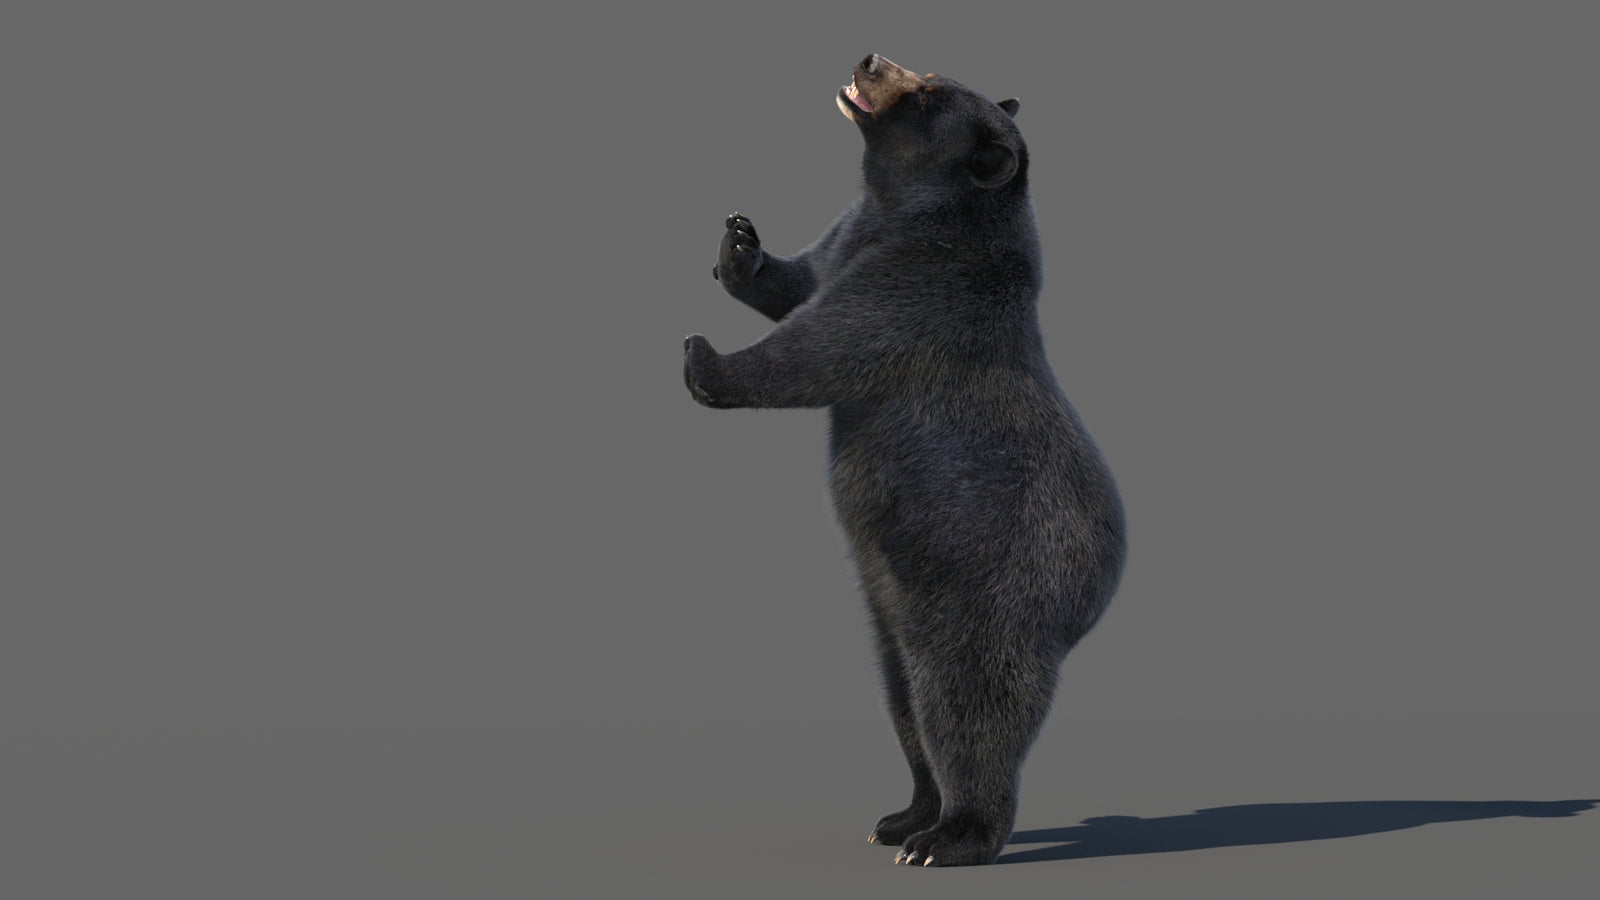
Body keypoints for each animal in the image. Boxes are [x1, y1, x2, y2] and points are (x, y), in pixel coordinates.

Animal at [683, 53, 1126, 867]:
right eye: (929, 70)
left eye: (924, 94)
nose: (869, 59)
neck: (909, 208)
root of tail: (1094, 598)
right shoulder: (852, 237)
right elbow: (801, 280)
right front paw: (741, 244)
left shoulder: (928, 282)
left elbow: (825, 344)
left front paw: (704, 358)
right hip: (891, 609)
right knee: (903, 704)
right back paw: (904, 815)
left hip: (991, 596)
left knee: (966, 710)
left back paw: (951, 837)